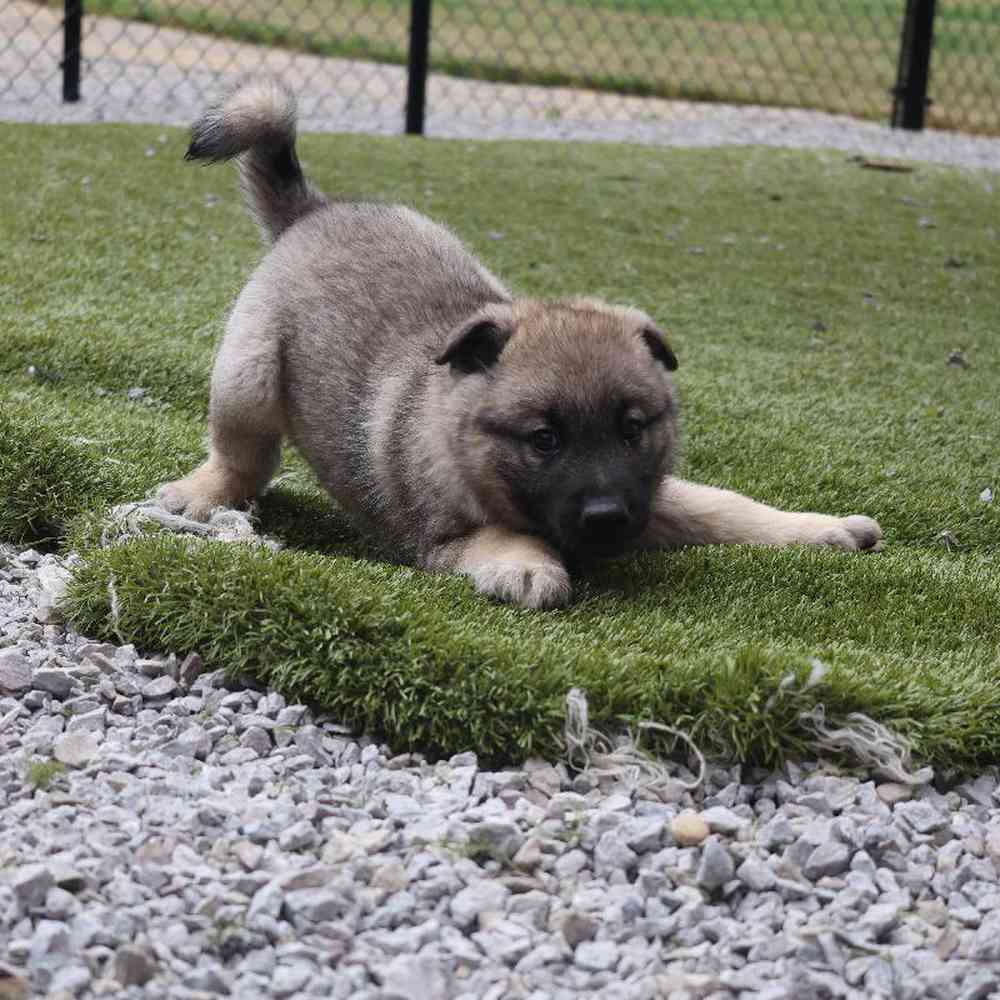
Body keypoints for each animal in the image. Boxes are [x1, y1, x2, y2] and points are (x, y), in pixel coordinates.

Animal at [158, 80, 884, 608]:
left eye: (633, 429)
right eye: (544, 440)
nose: (606, 518)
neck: (459, 437)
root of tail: (312, 210)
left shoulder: (652, 492)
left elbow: (726, 506)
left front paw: (819, 528)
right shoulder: (443, 536)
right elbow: (499, 532)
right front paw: (529, 565)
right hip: (247, 375)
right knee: (245, 458)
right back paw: (203, 492)